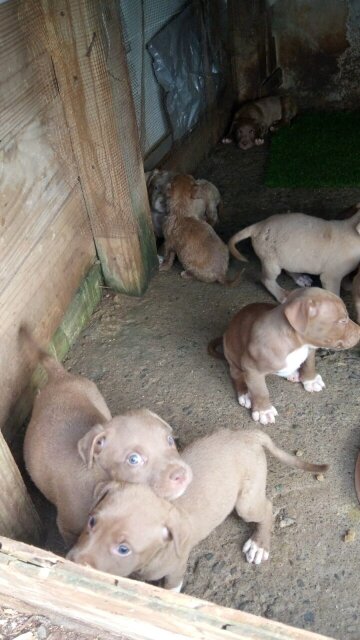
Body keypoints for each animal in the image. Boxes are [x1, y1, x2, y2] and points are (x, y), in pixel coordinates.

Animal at [21, 328, 193, 548]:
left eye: (170, 440)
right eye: (133, 459)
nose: (181, 474)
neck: (99, 476)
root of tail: (60, 376)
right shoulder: (67, 528)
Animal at [66, 428, 328, 592]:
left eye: (123, 549)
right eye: (91, 522)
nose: (73, 562)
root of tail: (248, 434)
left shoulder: (175, 572)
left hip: (247, 502)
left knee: (266, 509)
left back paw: (259, 544)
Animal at [208, 290, 360, 424]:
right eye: (343, 320)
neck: (298, 344)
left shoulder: (310, 349)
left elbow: (309, 365)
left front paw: (310, 380)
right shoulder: (252, 369)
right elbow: (260, 391)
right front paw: (264, 411)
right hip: (232, 354)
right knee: (236, 374)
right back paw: (245, 394)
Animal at [228, 208, 360, 302]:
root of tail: (258, 226)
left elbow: (346, 279)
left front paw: (349, 285)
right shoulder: (330, 277)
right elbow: (336, 295)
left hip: (288, 255)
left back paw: (300, 278)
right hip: (271, 262)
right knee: (266, 279)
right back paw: (281, 295)